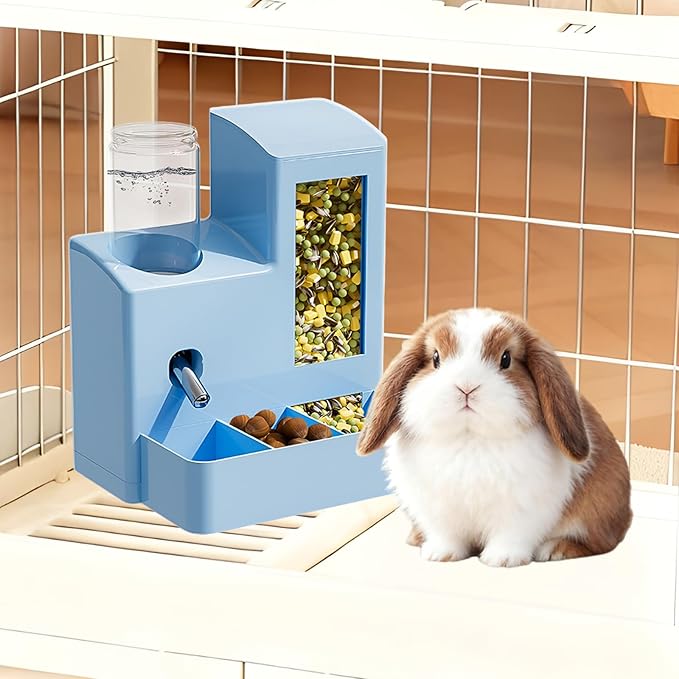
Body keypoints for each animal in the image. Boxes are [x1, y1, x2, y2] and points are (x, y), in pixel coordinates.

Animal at [357, 308, 632, 567]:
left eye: (506, 359)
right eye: (435, 358)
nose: (466, 386)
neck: (469, 439)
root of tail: (626, 514)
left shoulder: (521, 511)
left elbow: (510, 535)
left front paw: (502, 560)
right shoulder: (438, 512)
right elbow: (447, 536)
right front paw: (440, 555)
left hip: (595, 514)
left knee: (599, 542)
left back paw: (556, 549)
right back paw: (415, 538)